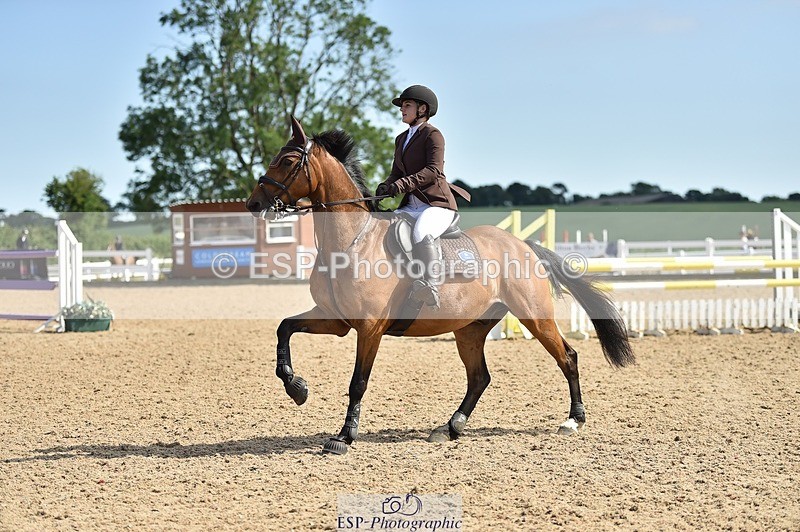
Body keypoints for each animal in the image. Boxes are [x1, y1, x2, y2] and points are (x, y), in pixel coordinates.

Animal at [246, 117, 635, 455]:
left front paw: (344, 436)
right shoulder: (335, 319)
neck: (351, 242)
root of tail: (522, 245)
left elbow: (358, 383)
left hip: (534, 316)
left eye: (288, 161)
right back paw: (450, 427)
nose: (253, 203)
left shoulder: (369, 328)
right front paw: (297, 388)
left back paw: (573, 420)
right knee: (479, 377)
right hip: (470, 328)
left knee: (567, 357)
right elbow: (284, 328)